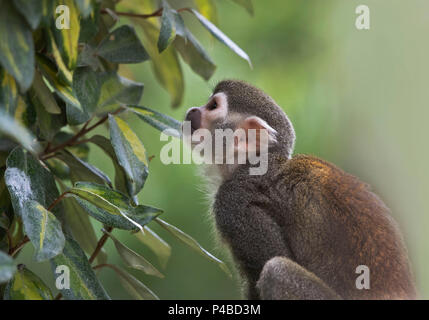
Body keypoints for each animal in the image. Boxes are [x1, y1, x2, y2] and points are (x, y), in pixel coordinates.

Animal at [183, 79, 414, 298]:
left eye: (212, 106)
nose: (192, 110)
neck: (251, 165)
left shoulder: (233, 203)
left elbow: (270, 261)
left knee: (276, 271)